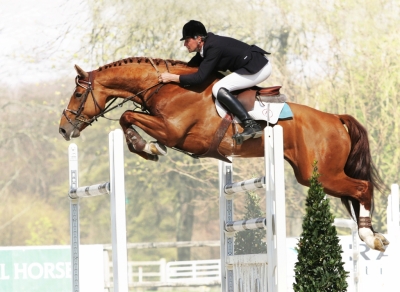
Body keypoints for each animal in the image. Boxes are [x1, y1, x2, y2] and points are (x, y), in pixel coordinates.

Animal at [57, 56, 390, 251]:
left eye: (78, 93)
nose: (63, 130)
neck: (165, 88)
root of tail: (335, 119)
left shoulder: (172, 130)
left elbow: (127, 117)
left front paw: (147, 147)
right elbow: (128, 118)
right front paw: (147, 147)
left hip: (319, 174)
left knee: (362, 188)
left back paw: (370, 236)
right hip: (316, 174)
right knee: (355, 193)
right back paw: (372, 236)